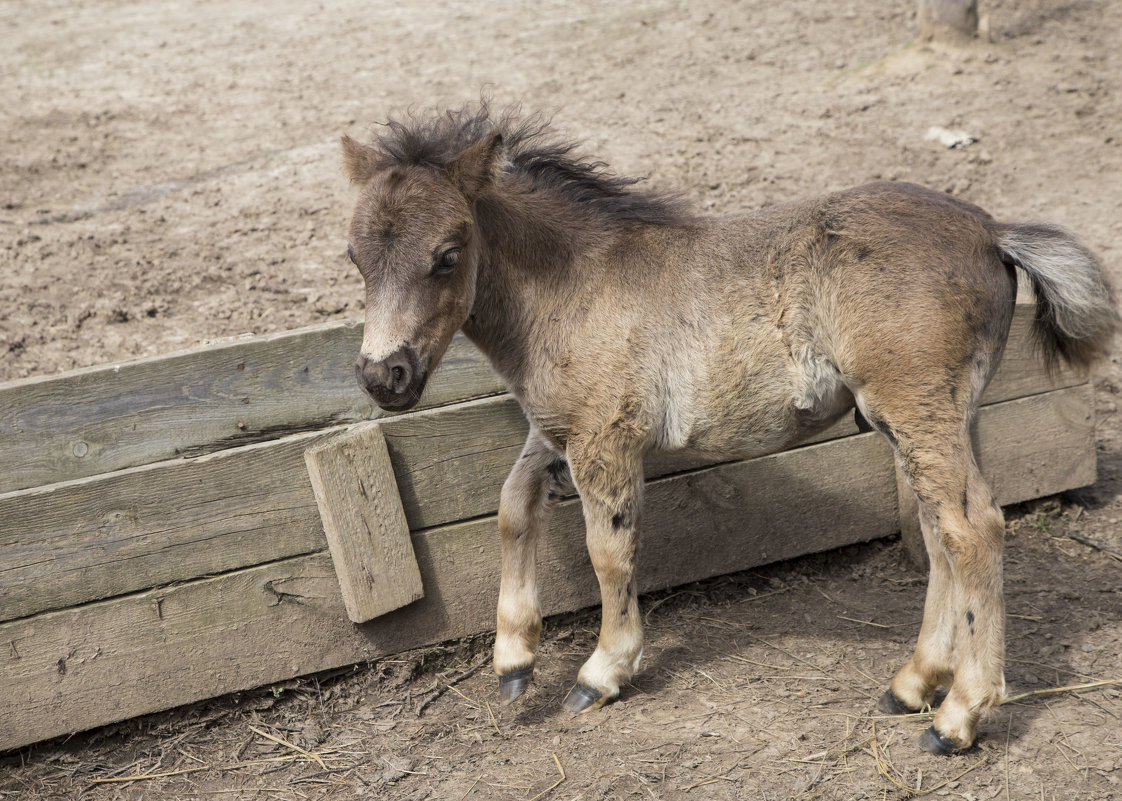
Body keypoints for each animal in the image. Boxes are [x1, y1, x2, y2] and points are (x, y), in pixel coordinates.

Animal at [341, 104, 1113, 749]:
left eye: (447, 254)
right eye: (355, 256)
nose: (384, 376)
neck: (572, 287)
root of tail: (990, 229)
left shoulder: (604, 441)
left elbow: (608, 552)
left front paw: (602, 670)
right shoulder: (557, 431)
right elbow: (509, 507)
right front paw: (513, 659)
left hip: (916, 408)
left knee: (972, 528)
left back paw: (959, 715)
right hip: (926, 418)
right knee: (940, 529)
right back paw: (914, 682)